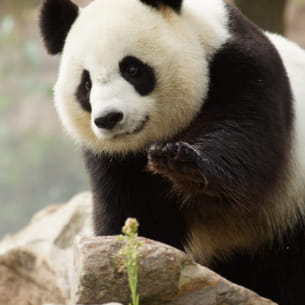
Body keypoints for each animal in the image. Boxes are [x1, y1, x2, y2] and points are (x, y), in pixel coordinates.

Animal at [39, 0, 304, 302]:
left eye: (132, 68)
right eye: (86, 84)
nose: (109, 118)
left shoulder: (245, 67)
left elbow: (244, 135)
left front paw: (181, 163)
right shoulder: (114, 161)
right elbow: (137, 215)